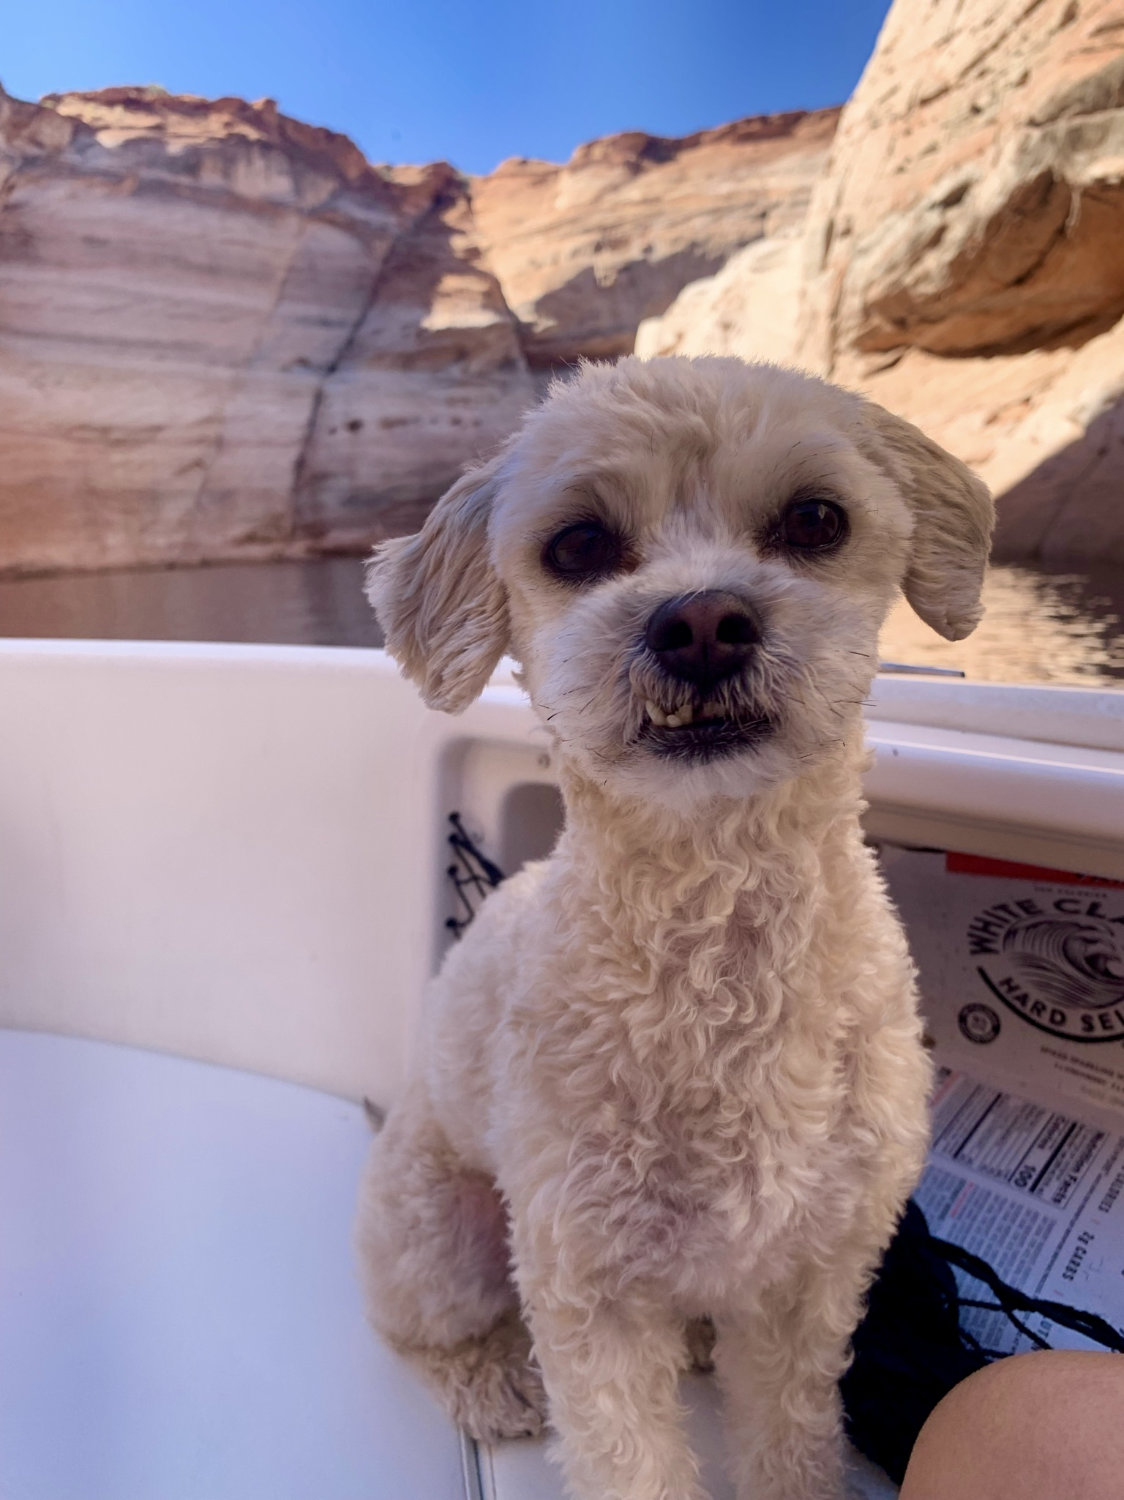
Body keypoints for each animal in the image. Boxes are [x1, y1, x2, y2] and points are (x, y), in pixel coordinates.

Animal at [357, 354, 990, 1500]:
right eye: (576, 545)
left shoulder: (812, 1276)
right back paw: (488, 1378)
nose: (700, 621)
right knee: (424, 1329)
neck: (716, 941)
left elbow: (789, 1437)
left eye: (816, 519)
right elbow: (627, 1458)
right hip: (437, 1235)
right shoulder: (585, 1285)